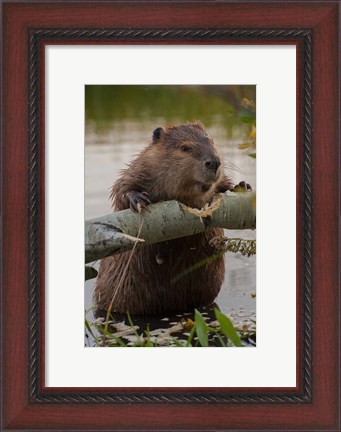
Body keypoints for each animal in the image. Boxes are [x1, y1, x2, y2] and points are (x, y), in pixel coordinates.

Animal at [93, 121, 250, 314]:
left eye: (212, 140)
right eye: (185, 148)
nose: (214, 161)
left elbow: (223, 184)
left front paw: (242, 186)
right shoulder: (141, 167)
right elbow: (122, 188)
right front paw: (138, 200)